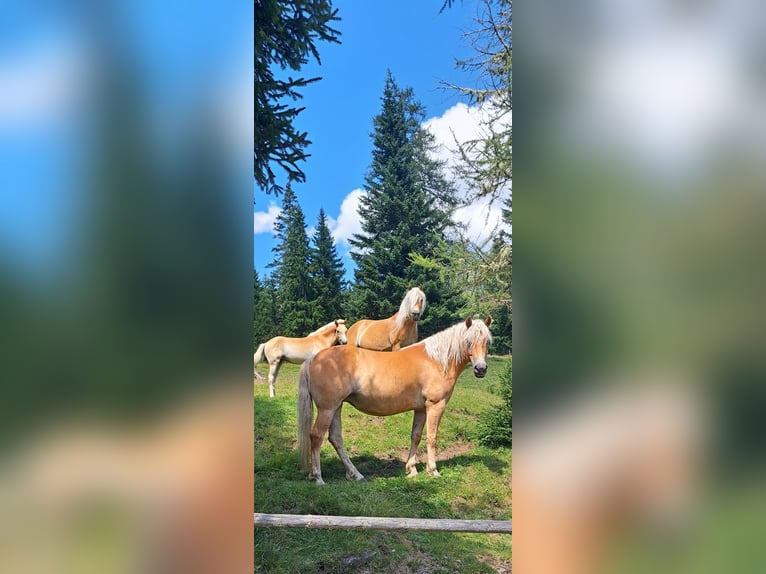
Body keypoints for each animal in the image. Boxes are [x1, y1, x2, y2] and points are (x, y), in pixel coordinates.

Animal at [296, 318, 496, 484]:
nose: (480, 369)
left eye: (487, 342)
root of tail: (314, 358)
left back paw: (356, 474)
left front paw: (412, 469)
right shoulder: (435, 405)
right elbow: (432, 437)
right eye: (468, 341)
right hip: (327, 409)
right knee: (316, 437)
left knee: (336, 439)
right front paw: (433, 470)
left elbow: (416, 436)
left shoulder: (421, 409)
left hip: (336, 407)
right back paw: (318, 477)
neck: (437, 360)